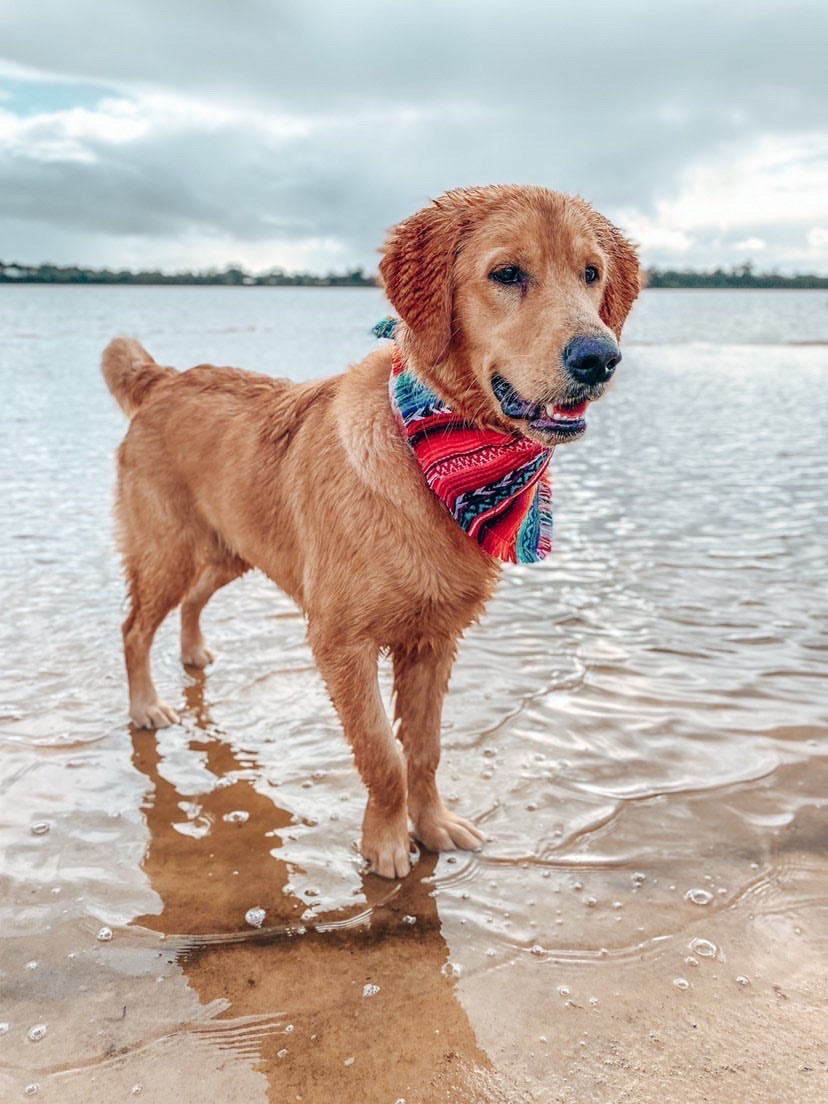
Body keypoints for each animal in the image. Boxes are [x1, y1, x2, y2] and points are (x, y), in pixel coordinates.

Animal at [100, 187, 640, 878]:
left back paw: (194, 654)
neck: (434, 453)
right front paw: (386, 846)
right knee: (133, 629)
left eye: (591, 273)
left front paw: (433, 826)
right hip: (167, 550)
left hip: (232, 550)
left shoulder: (434, 638)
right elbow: (383, 756)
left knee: (192, 604)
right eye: (507, 274)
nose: (599, 358)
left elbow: (425, 751)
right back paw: (145, 707)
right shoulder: (341, 641)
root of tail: (165, 377)